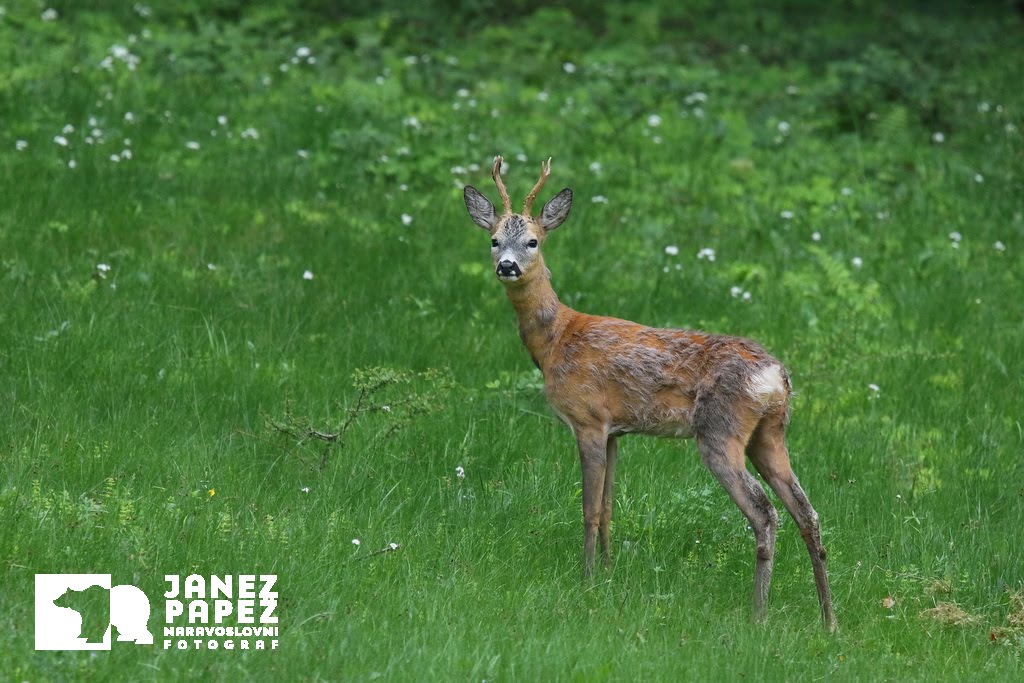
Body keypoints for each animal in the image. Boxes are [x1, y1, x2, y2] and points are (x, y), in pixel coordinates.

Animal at [464, 156, 839, 634]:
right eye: (494, 240)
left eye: (533, 240)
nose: (507, 266)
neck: (555, 341)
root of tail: (776, 375)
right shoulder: (614, 430)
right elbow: (608, 507)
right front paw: (608, 573)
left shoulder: (587, 419)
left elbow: (588, 508)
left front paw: (586, 579)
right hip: (770, 434)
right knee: (806, 511)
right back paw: (828, 619)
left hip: (721, 432)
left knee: (764, 511)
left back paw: (759, 613)